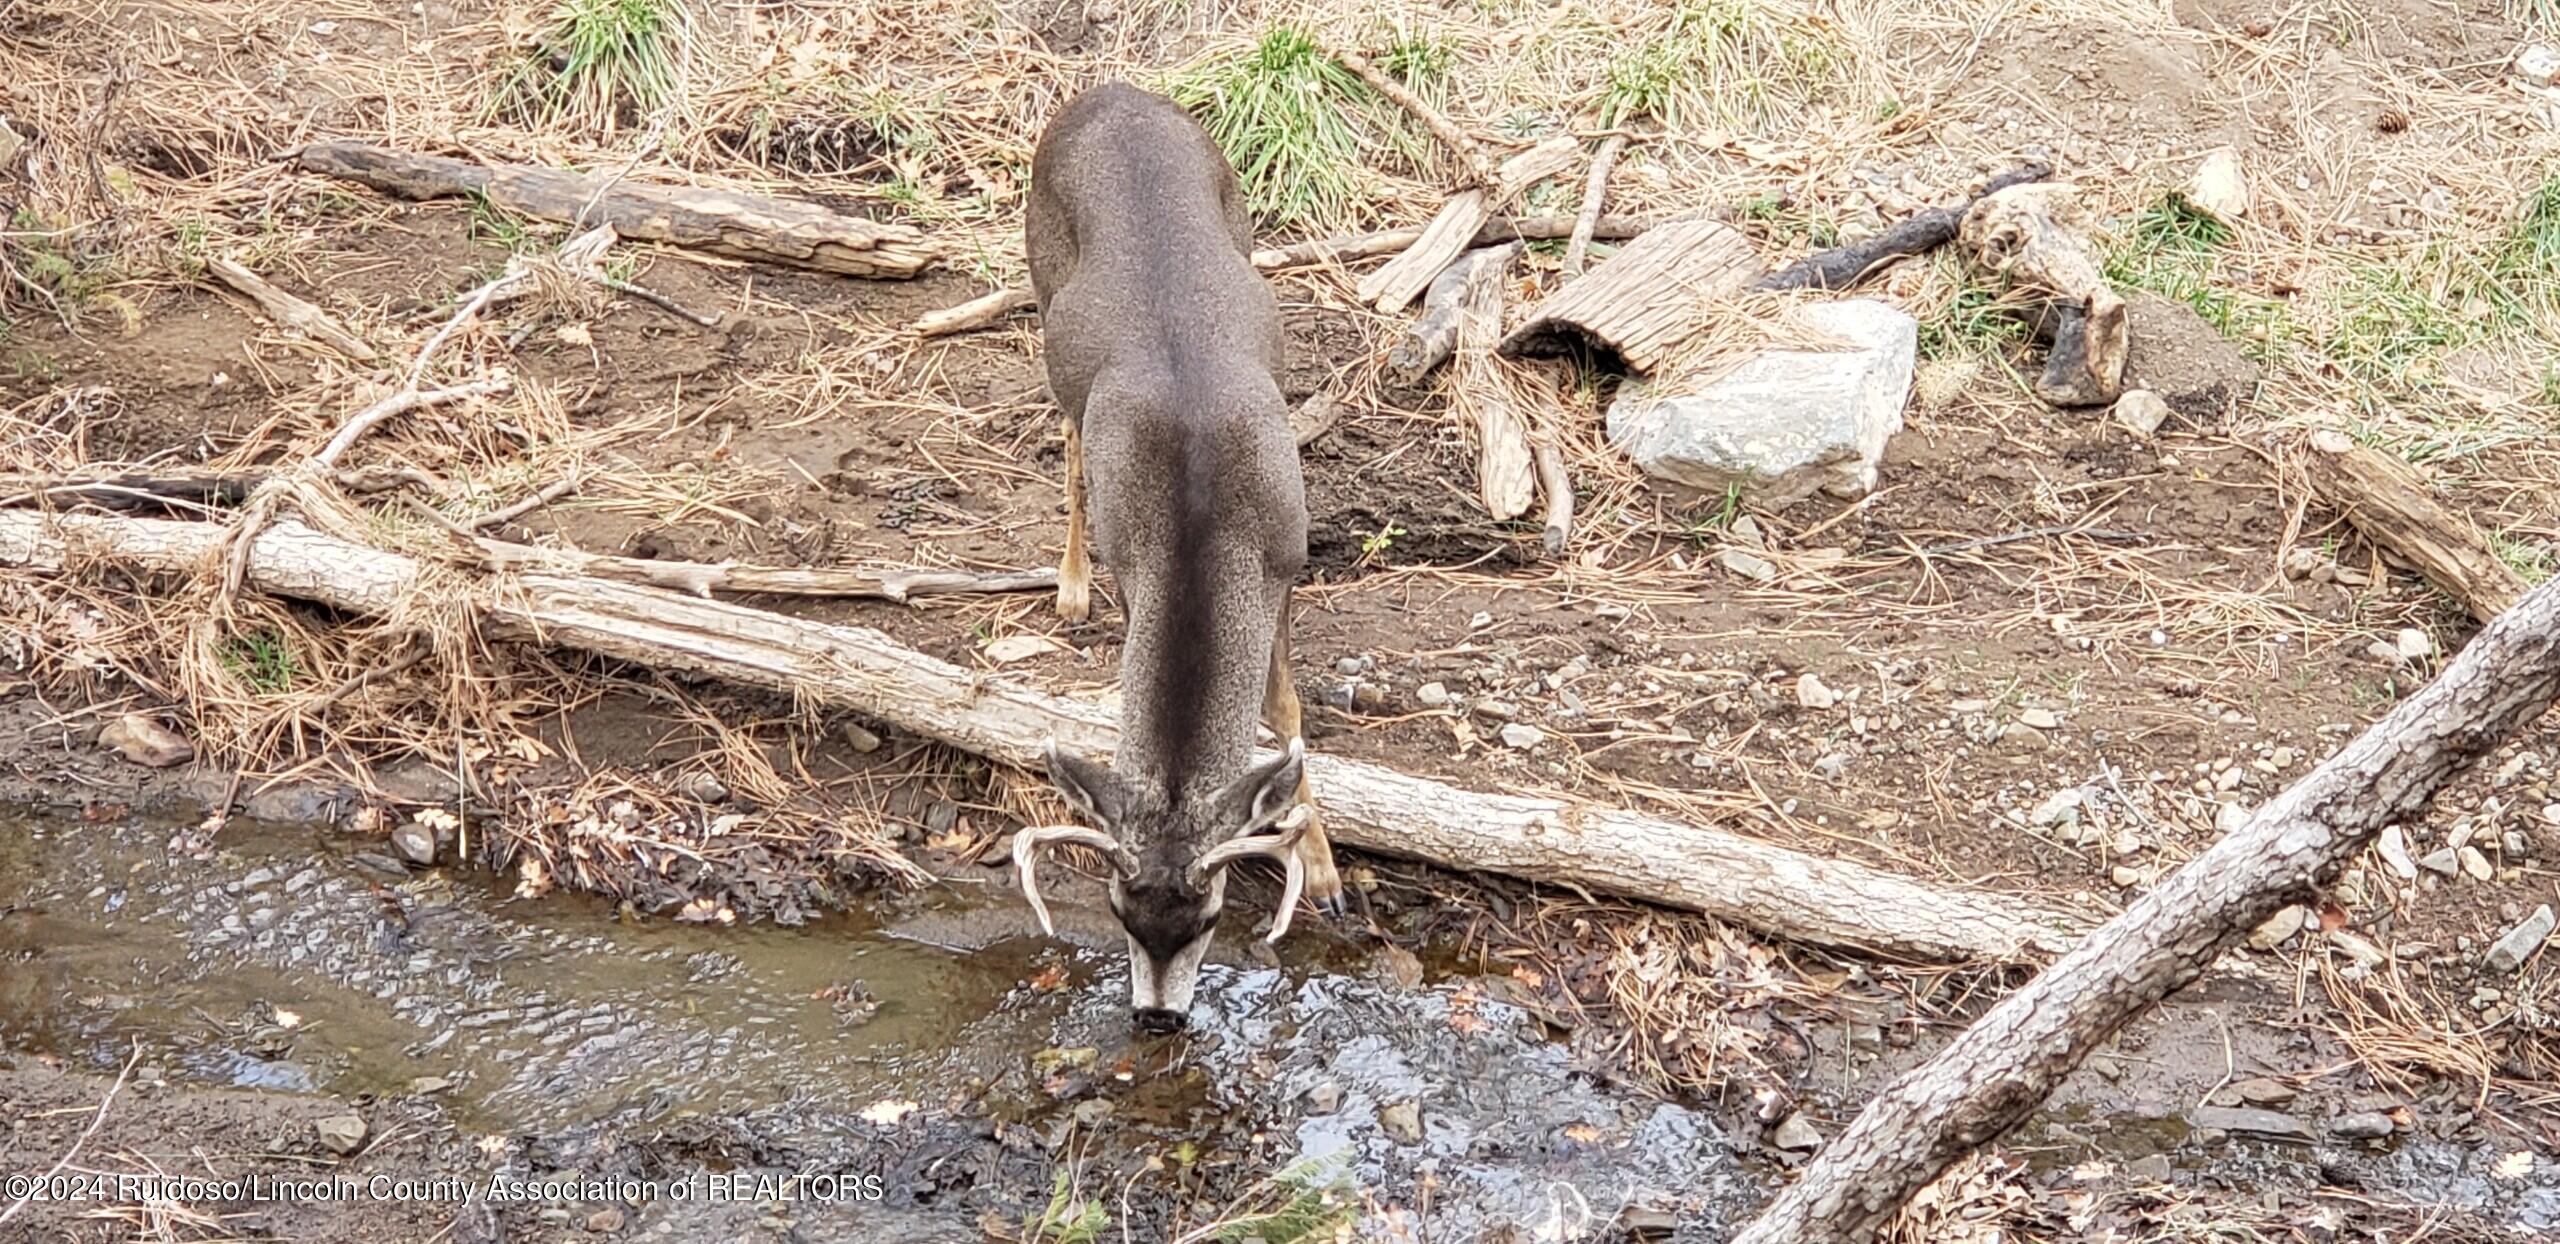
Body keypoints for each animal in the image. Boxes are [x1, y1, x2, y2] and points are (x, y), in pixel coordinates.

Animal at [998, 77, 1341, 1028]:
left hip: (1241, 217)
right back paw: (1068, 584)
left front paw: (1325, 867)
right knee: (1068, 436)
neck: (1200, 522)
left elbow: (1288, 711)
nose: (1156, 1014)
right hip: (1043, 280)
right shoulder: (1135, 561)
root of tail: (1108, 90)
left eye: (1211, 916)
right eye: (1118, 908)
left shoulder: (1287, 556)